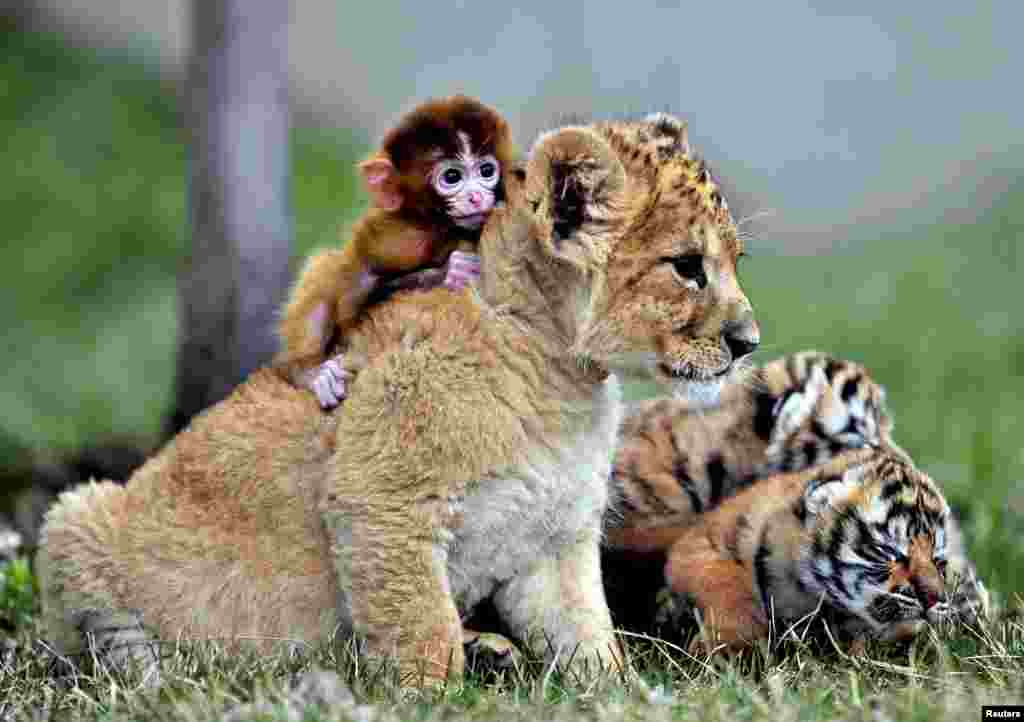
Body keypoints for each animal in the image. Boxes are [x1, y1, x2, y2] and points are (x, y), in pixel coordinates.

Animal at [276, 97, 516, 405]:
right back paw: (309, 372)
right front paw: (452, 272)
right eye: (452, 176)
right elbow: (353, 311)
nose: (476, 197)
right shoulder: (395, 239)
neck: (440, 228)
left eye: (487, 171)